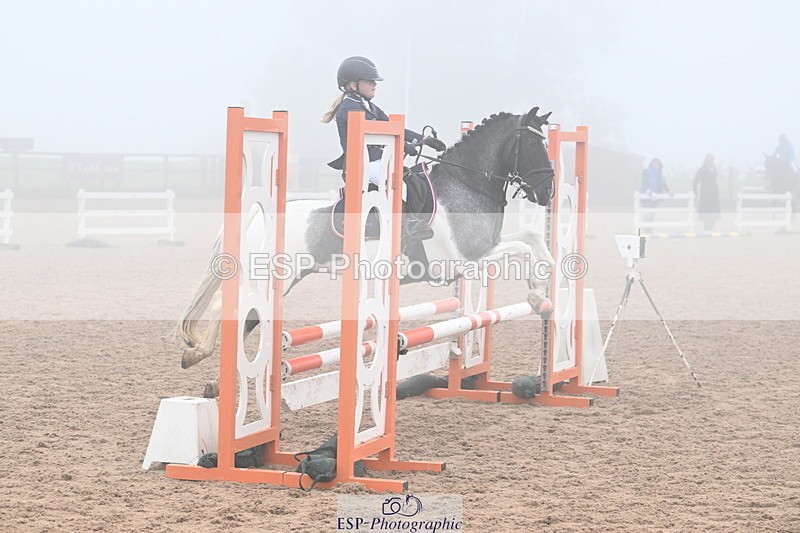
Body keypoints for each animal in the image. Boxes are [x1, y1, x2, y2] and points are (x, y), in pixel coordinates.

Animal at [175, 107, 557, 397]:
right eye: (532, 145)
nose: (548, 192)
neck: (466, 185)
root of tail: (259, 215)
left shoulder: (480, 253)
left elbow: (533, 240)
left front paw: (543, 289)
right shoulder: (465, 260)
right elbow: (523, 248)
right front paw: (536, 296)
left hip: (281, 280)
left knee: (244, 318)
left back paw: (213, 379)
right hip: (270, 277)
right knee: (227, 307)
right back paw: (198, 356)